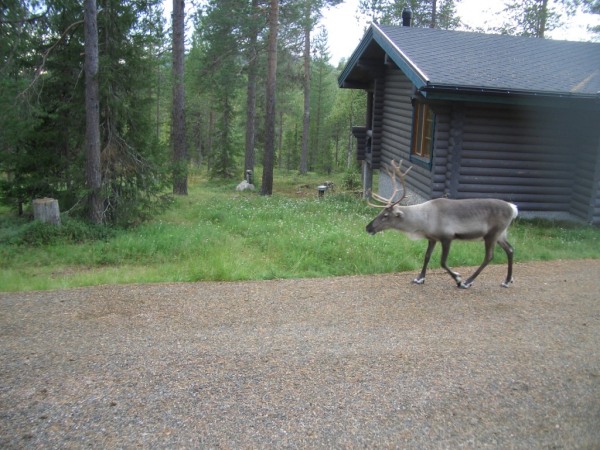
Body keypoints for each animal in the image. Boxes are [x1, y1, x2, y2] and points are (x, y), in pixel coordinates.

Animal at [365, 160, 518, 289]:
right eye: (381, 212)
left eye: (385, 216)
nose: (368, 227)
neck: (423, 220)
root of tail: (513, 208)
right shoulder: (432, 238)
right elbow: (427, 257)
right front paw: (419, 278)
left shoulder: (447, 237)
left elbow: (442, 262)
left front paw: (458, 278)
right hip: (500, 234)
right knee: (510, 249)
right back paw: (507, 280)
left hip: (492, 234)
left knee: (489, 256)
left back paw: (468, 281)